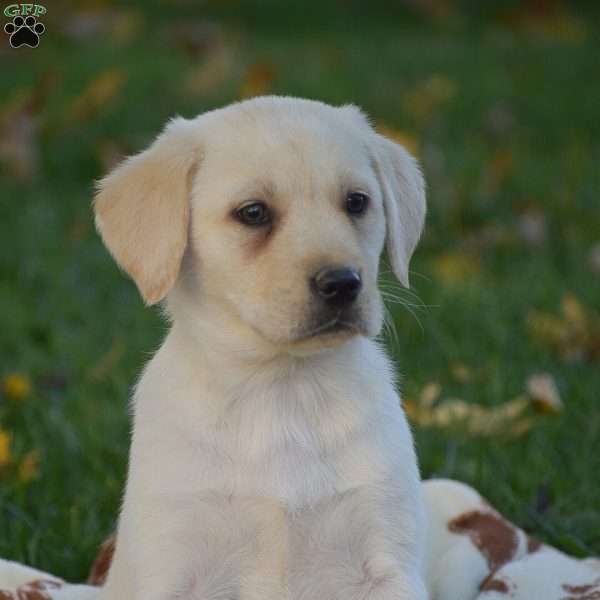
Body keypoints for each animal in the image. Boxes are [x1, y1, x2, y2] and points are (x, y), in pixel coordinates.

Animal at [95, 96, 426, 596]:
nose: (343, 283)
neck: (282, 386)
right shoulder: (174, 560)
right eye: (253, 213)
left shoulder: (387, 555)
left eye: (357, 202)